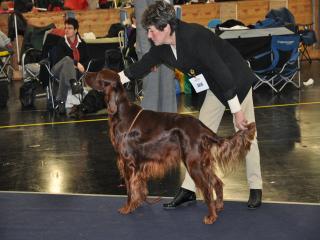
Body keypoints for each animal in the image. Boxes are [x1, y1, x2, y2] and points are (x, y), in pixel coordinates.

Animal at [84, 69, 255, 225]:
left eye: (99, 75)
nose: (84, 74)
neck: (121, 112)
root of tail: (201, 127)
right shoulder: (138, 164)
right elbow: (139, 186)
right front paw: (138, 203)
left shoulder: (128, 162)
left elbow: (129, 189)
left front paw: (127, 207)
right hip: (203, 163)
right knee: (217, 183)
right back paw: (218, 206)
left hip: (193, 163)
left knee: (207, 188)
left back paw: (211, 216)